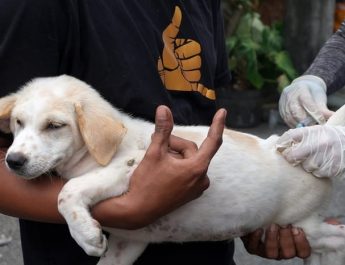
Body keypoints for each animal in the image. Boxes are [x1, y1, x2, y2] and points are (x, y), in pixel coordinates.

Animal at [0, 75, 344, 264]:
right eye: (17, 122)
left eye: (54, 126)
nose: (13, 160)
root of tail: (277, 147)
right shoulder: (128, 242)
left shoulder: (132, 166)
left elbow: (68, 192)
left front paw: (85, 235)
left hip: (305, 225)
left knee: (337, 237)